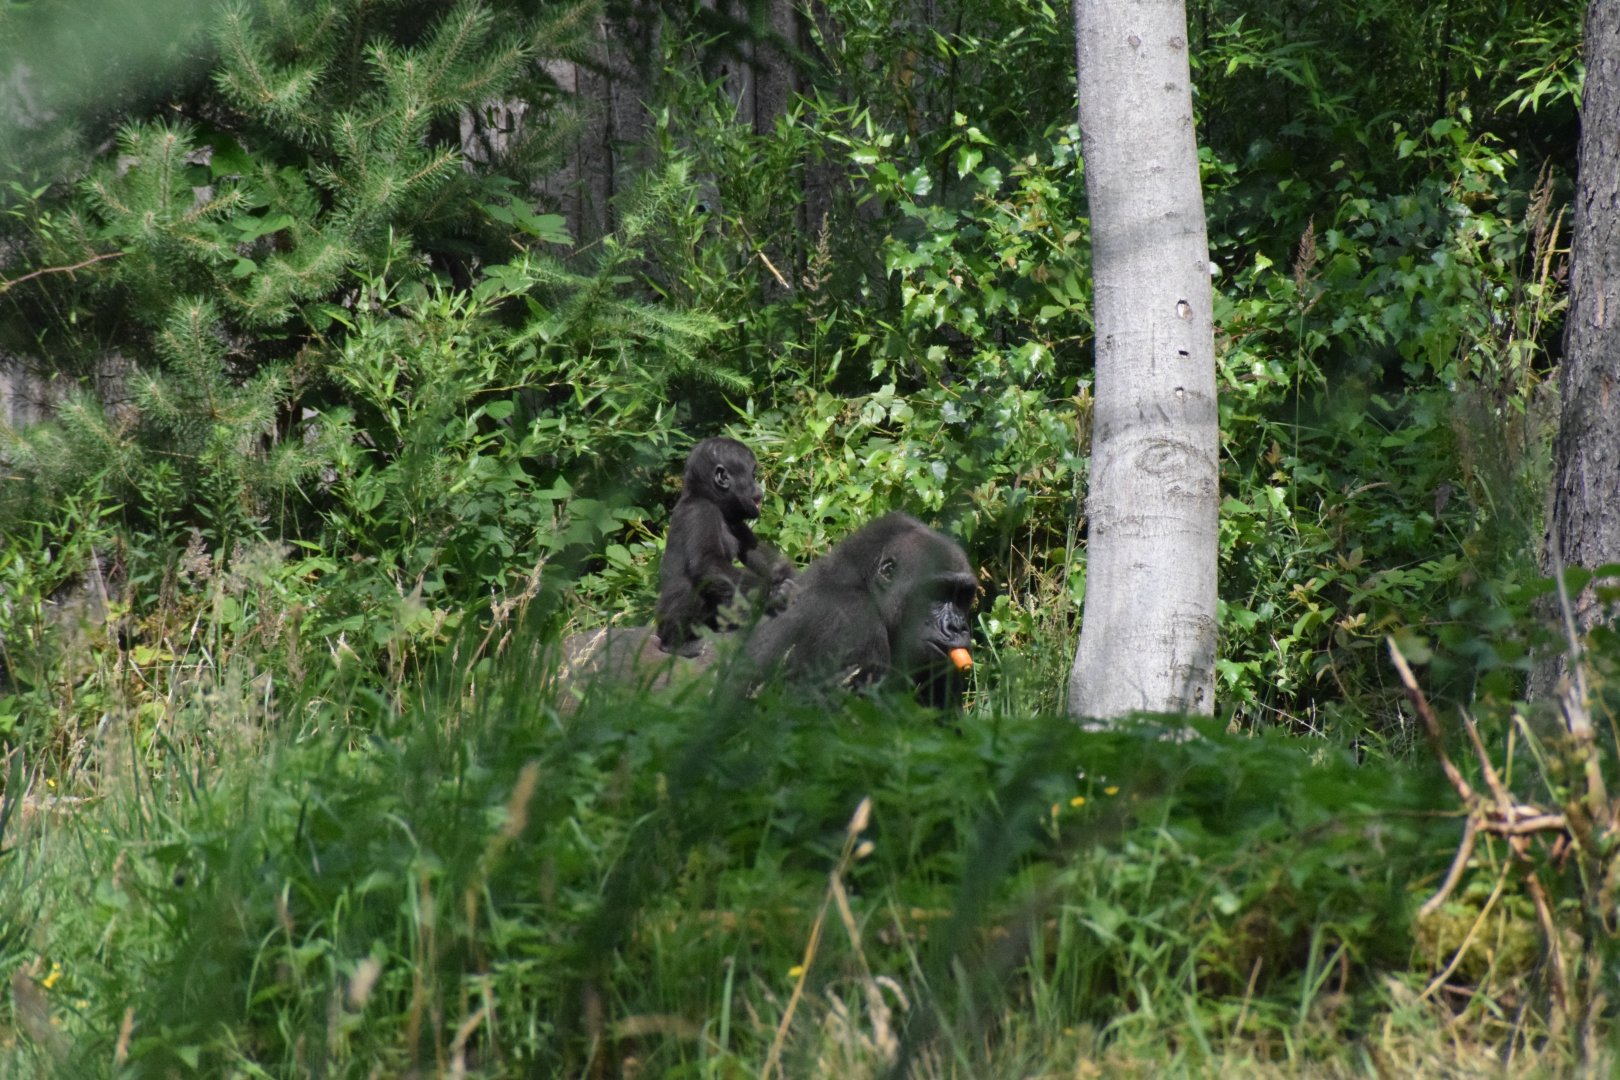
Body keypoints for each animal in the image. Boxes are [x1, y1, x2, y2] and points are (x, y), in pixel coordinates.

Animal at [654, 437, 796, 656]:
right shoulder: (700, 512)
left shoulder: (736, 520)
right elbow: (707, 564)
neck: (709, 498)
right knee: (693, 586)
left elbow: (757, 554)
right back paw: (678, 643)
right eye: (752, 475)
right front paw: (773, 591)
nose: (760, 489)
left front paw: (787, 574)